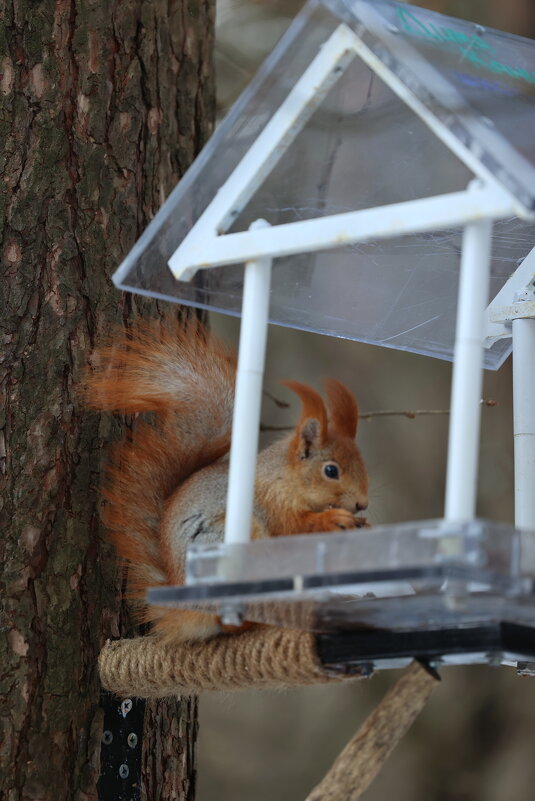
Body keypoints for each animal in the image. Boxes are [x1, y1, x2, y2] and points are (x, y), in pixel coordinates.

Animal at [87, 316, 368, 640]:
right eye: (331, 470)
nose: (362, 504)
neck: (285, 480)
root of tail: (186, 608)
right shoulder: (273, 504)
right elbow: (294, 528)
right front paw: (333, 520)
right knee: (231, 622)